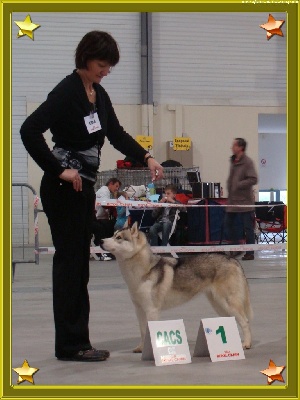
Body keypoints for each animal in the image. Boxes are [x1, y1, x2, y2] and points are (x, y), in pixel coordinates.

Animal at [99, 222, 252, 354]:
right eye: (113, 235)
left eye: (119, 238)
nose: (100, 241)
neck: (142, 272)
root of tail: (233, 260)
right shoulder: (139, 309)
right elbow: (143, 331)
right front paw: (141, 348)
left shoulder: (151, 310)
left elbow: (149, 332)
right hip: (218, 304)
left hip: (227, 302)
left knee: (245, 321)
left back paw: (246, 344)